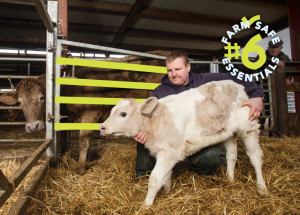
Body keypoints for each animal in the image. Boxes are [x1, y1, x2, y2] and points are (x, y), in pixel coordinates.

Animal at [0, 51, 169, 174]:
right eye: (20, 102)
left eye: (42, 97)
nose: (32, 126)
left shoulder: (90, 114)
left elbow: (83, 141)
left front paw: (80, 167)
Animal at [100, 80, 270, 208]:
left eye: (123, 114)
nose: (102, 127)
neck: (155, 120)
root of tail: (238, 85)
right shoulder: (165, 152)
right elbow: (166, 176)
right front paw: (167, 192)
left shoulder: (169, 152)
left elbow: (155, 179)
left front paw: (146, 206)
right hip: (227, 132)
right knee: (232, 155)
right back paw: (230, 179)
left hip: (249, 127)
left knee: (255, 156)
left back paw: (262, 188)